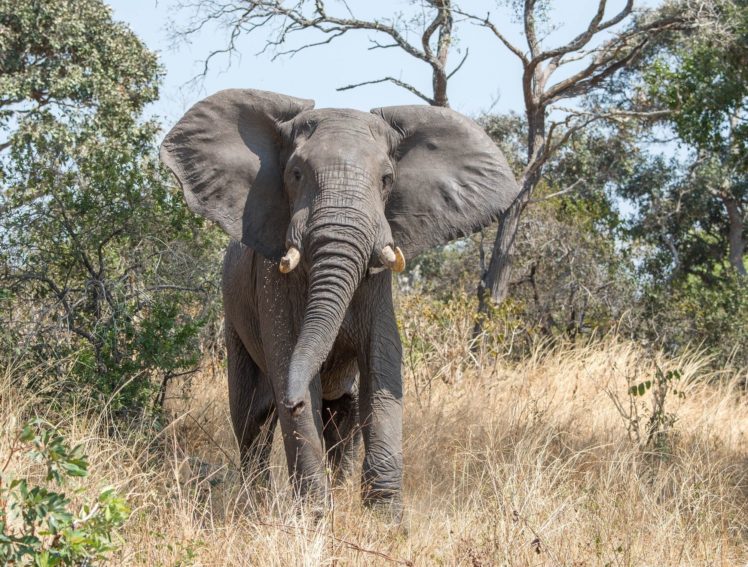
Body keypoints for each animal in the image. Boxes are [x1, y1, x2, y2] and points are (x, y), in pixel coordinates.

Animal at [160, 88, 520, 516]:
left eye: (387, 179)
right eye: (296, 174)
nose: (291, 401)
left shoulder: (378, 287)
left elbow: (381, 369)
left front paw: (384, 519)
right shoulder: (272, 283)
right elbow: (290, 368)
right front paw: (315, 517)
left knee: (343, 417)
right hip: (233, 318)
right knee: (250, 420)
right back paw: (256, 505)